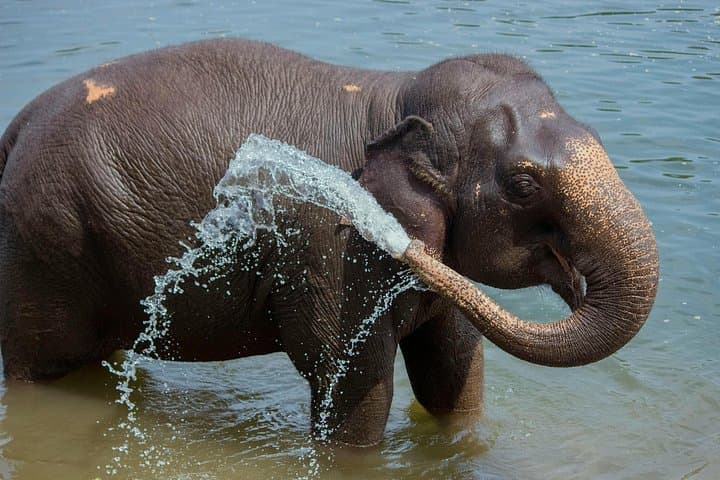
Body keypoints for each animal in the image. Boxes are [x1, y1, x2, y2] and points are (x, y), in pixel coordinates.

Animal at [0, 39, 658, 447]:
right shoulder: (326, 250)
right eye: (523, 185)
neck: (392, 94)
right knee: (35, 368)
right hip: (46, 250)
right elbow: (354, 393)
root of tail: (14, 130)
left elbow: (453, 373)